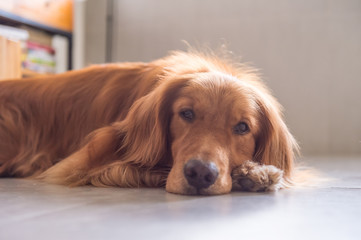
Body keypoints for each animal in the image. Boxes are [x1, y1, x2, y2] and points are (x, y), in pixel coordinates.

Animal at [0, 51, 298, 195]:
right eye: (186, 114)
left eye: (242, 127)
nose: (200, 174)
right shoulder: (84, 164)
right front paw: (251, 175)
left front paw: (255, 172)